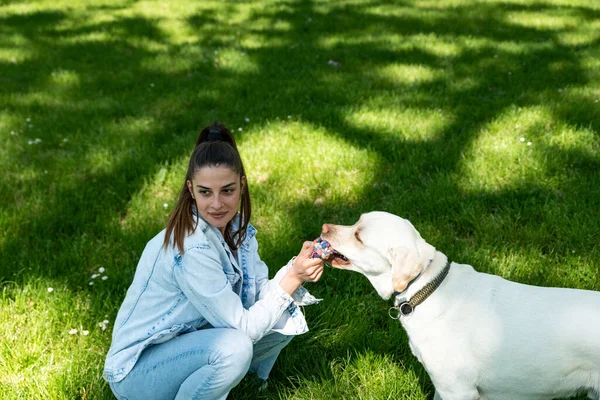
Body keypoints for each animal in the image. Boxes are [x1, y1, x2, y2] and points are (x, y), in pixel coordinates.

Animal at [322, 211, 596, 398]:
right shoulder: (442, 387)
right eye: (356, 221)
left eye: (358, 236)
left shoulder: (456, 388)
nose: (324, 228)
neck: (428, 288)